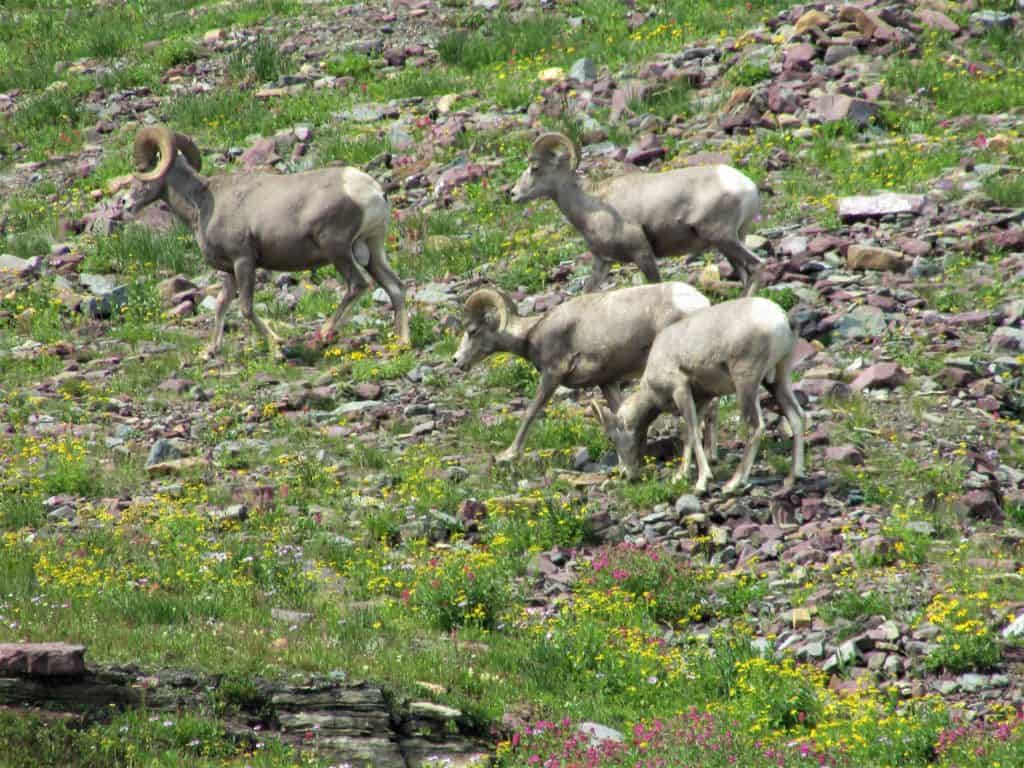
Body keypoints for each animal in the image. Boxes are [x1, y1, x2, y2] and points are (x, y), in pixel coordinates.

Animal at [130, 123, 409, 358]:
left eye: (143, 170)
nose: (125, 202)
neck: (203, 203)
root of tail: (372, 190)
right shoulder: (229, 270)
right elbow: (221, 305)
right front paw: (210, 351)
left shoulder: (244, 262)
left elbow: (246, 308)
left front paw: (278, 348)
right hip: (372, 249)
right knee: (395, 287)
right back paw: (402, 343)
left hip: (338, 250)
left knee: (357, 286)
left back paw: (321, 336)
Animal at [507, 134, 765, 296]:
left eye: (535, 168)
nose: (513, 194)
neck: (591, 205)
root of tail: (748, 187)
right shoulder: (602, 261)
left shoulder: (642, 254)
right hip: (729, 244)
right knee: (745, 275)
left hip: (724, 238)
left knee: (757, 266)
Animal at [593, 296, 806, 495]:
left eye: (611, 437)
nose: (625, 475)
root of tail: (783, 319)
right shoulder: (702, 398)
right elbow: (688, 434)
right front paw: (680, 476)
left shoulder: (680, 389)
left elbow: (694, 433)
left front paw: (702, 482)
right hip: (777, 380)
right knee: (797, 416)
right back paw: (794, 476)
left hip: (746, 382)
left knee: (756, 426)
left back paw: (733, 484)